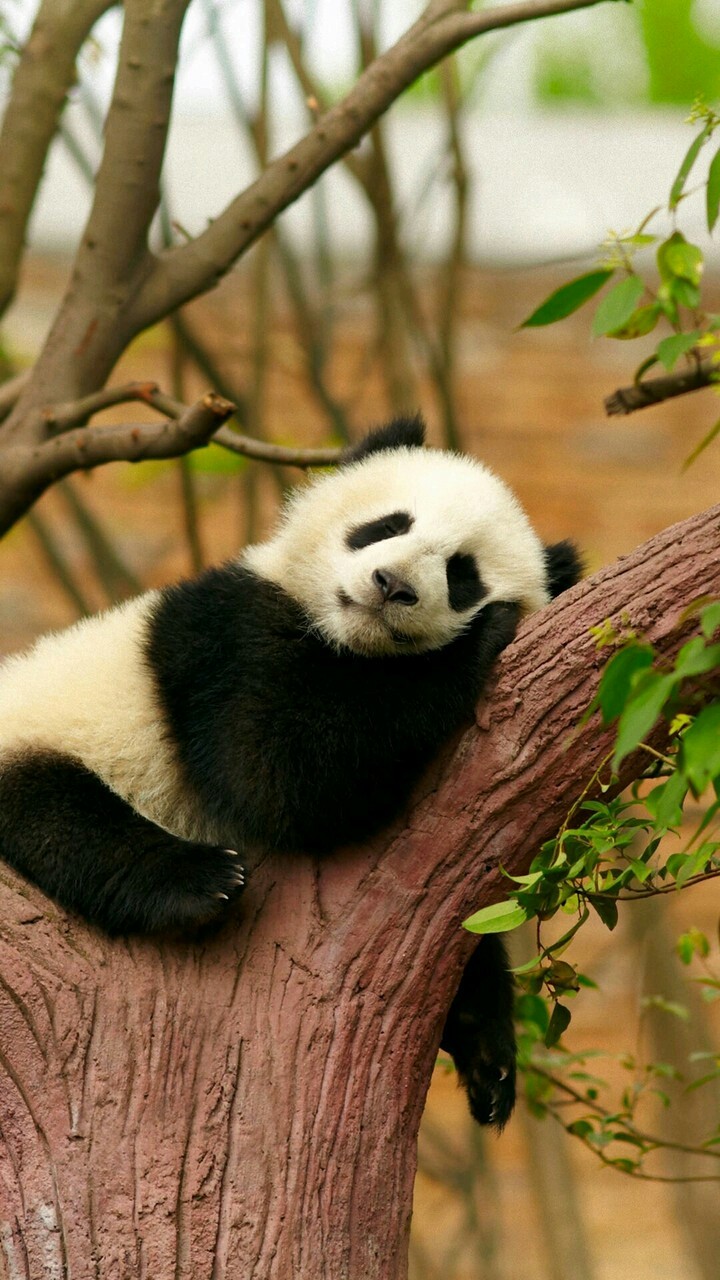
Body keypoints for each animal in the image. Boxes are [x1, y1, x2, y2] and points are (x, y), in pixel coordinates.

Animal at [0, 416, 580, 1127]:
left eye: (462, 573)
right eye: (386, 525)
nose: (391, 584)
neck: (345, 640)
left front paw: (487, 1051)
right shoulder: (226, 636)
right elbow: (276, 773)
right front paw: (478, 641)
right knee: (58, 812)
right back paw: (198, 880)